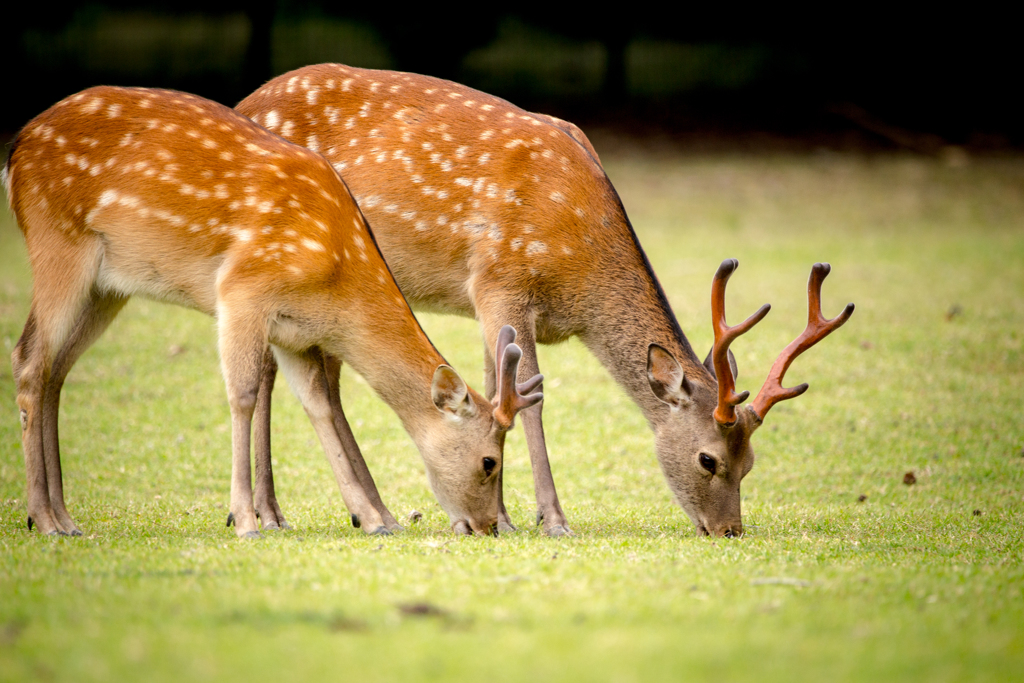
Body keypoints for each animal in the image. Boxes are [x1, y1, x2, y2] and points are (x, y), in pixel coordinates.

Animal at [4, 85, 544, 536]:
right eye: (490, 461)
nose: (488, 528)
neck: (336, 278)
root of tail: (15, 150)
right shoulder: (243, 290)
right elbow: (242, 395)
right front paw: (245, 521)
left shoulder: (295, 332)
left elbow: (319, 406)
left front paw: (373, 520)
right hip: (58, 241)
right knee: (29, 359)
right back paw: (44, 519)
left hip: (108, 285)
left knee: (55, 369)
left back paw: (64, 517)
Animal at [235, 63, 851, 536]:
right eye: (710, 459)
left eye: (751, 463)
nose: (730, 531)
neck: (577, 273)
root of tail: (245, 99)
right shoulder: (500, 280)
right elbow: (529, 402)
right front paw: (550, 518)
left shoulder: (486, 304)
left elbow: (494, 392)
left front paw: (501, 516)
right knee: (269, 373)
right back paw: (271, 513)